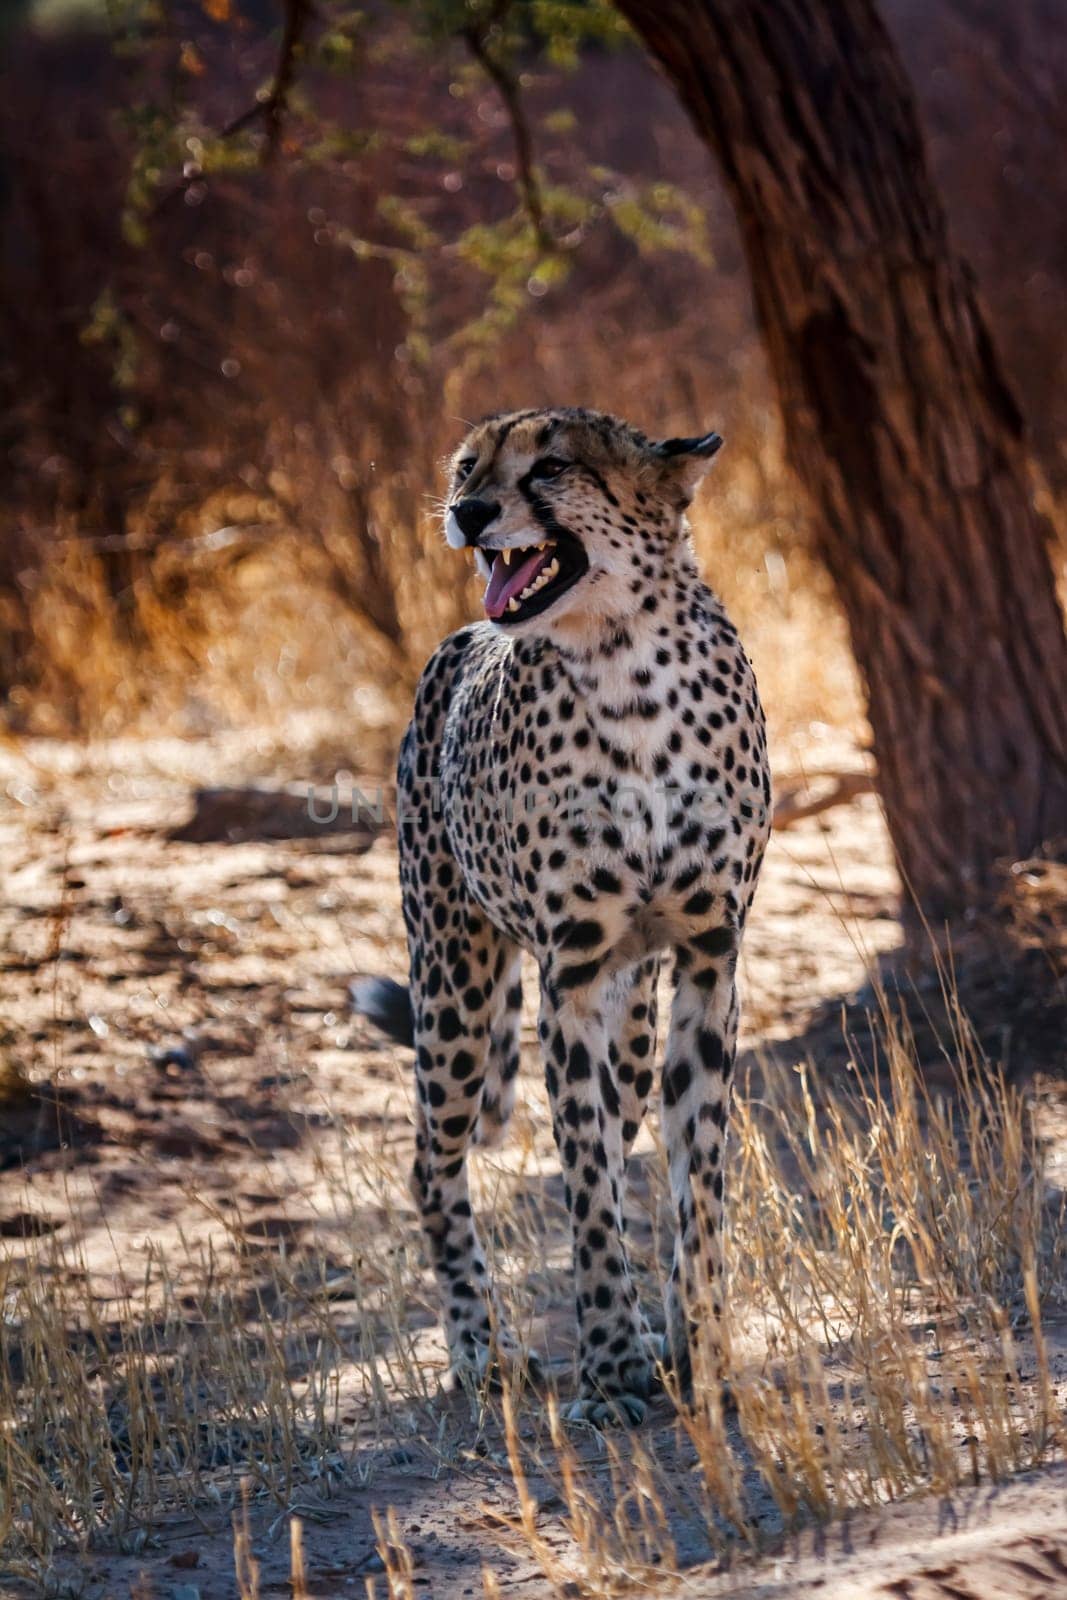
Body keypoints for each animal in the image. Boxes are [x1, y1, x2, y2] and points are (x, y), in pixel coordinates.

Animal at [355, 403, 771, 1427]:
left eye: (549, 468)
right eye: (466, 467)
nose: (466, 512)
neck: (626, 668)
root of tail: (459, 636)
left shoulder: (708, 959)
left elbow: (694, 1178)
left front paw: (700, 1350)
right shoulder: (569, 977)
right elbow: (582, 1185)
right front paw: (612, 1370)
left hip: (632, 1016)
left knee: (623, 1137)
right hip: (453, 983)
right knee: (431, 1165)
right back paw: (478, 1351)